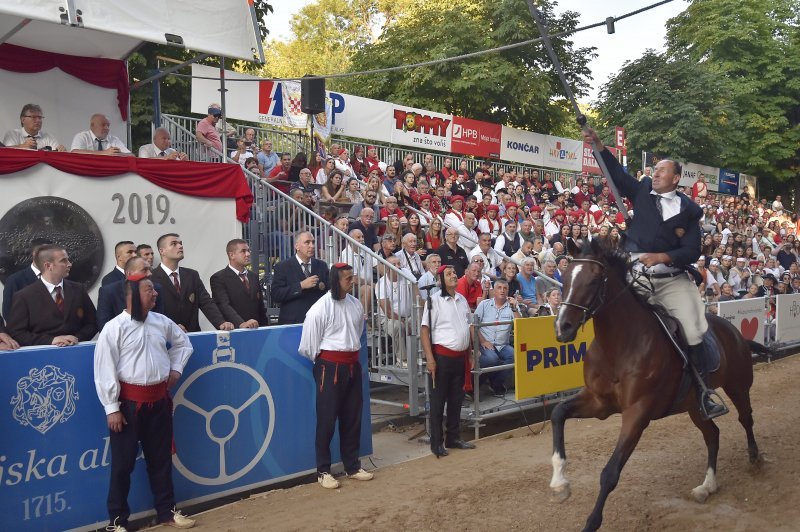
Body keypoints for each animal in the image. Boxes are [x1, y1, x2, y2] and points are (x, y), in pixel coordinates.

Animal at [552, 238, 764, 532]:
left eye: (594, 280)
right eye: (565, 278)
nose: (563, 327)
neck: (618, 347)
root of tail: (733, 331)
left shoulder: (637, 413)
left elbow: (610, 473)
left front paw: (591, 522)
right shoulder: (598, 402)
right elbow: (558, 413)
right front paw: (560, 484)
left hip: (738, 386)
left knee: (746, 419)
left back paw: (755, 460)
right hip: (694, 406)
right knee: (712, 434)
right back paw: (707, 486)